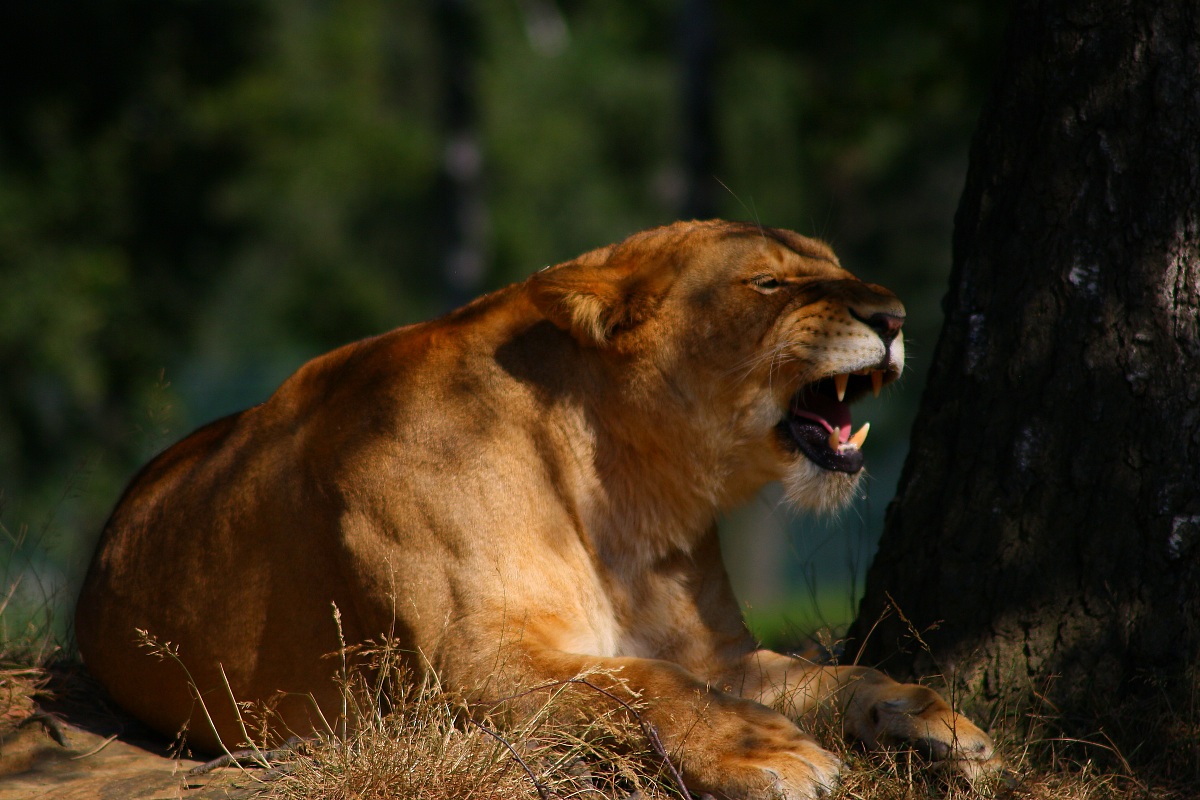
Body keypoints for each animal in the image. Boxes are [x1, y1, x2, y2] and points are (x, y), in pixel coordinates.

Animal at [75, 220, 997, 798]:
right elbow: (643, 688)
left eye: (834, 265)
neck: (625, 486)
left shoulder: (717, 651)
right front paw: (766, 752)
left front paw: (938, 725)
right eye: (769, 282)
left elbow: (836, 675)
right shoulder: (463, 671)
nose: (895, 316)